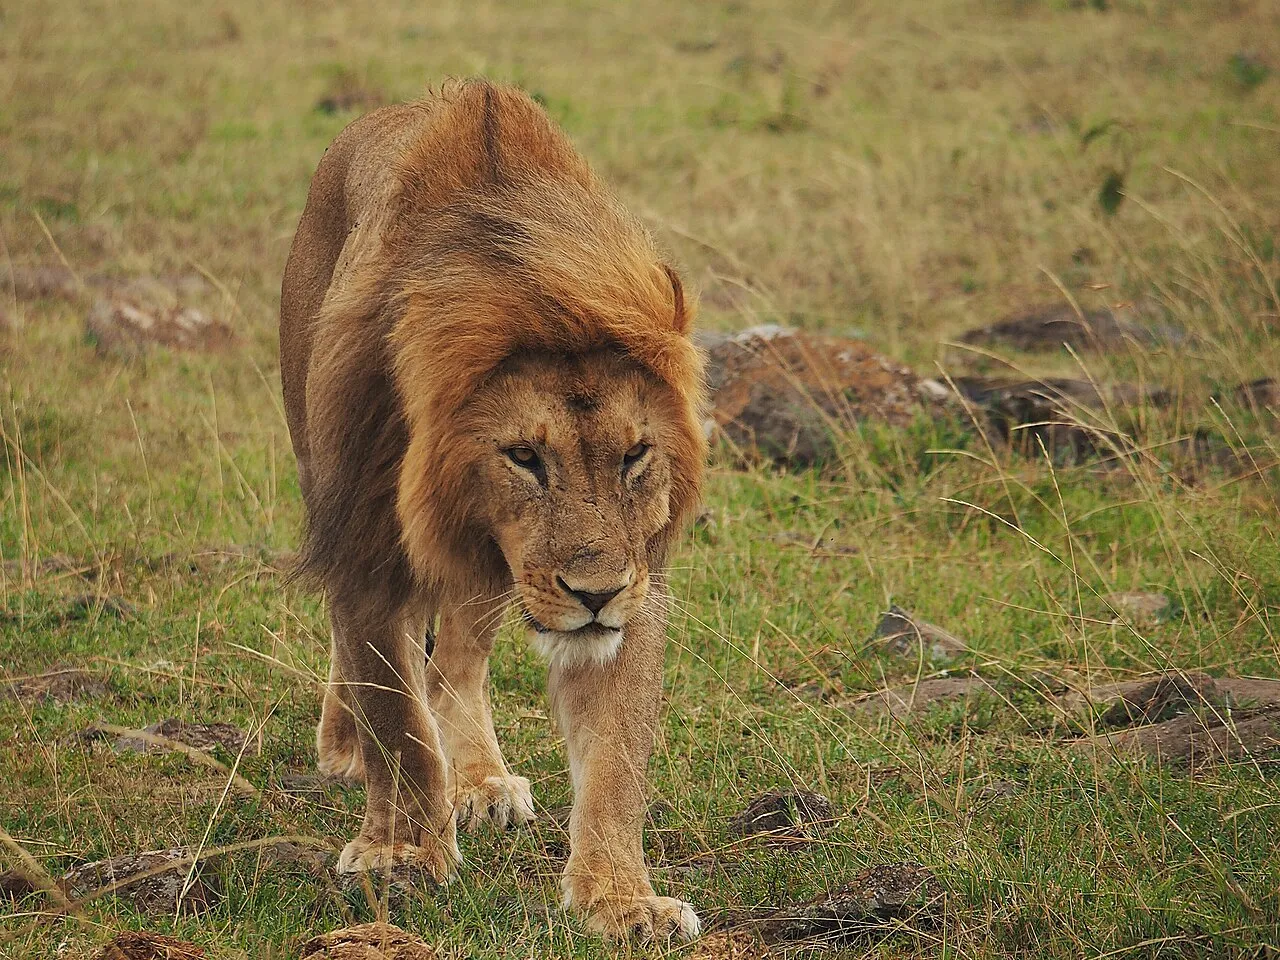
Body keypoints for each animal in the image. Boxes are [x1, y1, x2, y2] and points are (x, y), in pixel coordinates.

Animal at [279, 80, 707, 941]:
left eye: (634, 454)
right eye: (523, 456)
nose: (594, 593)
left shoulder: (639, 581)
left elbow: (615, 758)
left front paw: (621, 901)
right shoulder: (367, 548)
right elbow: (396, 721)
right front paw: (403, 854)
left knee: (457, 667)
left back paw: (479, 781)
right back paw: (344, 742)